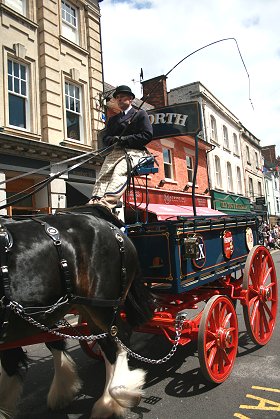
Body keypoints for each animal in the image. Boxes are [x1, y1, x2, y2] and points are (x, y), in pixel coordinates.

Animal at [0, 212, 153, 418]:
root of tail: (117, 231)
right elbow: (12, 360)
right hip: (85, 307)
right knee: (107, 342)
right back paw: (105, 399)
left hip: (103, 304)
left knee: (119, 337)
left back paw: (117, 396)